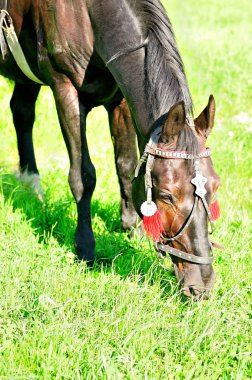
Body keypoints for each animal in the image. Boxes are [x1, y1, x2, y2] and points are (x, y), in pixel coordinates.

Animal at [0, 0, 220, 300]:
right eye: (166, 195)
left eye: (215, 187)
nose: (202, 283)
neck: (88, 14)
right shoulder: (65, 89)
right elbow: (83, 176)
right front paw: (84, 247)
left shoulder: (120, 98)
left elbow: (126, 165)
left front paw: (132, 228)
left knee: (21, 110)